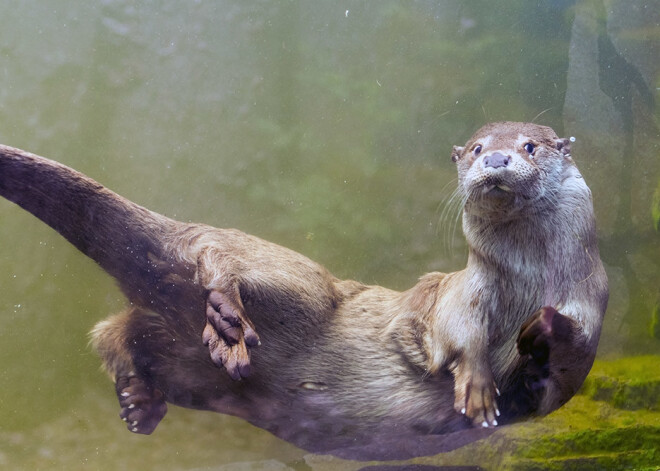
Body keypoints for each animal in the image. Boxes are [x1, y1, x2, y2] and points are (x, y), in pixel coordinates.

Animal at [0, 122, 608, 460]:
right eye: (479, 146)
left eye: (529, 146)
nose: (497, 158)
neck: (524, 284)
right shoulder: (461, 294)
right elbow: (453, 335)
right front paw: (479, 385)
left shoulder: (591, 297)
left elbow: (567, 369)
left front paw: (544, 330)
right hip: (301, 285)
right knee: (210, 256)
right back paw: (226, 323)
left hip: (187, 352)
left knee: (121, 331)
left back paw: (140, 402)